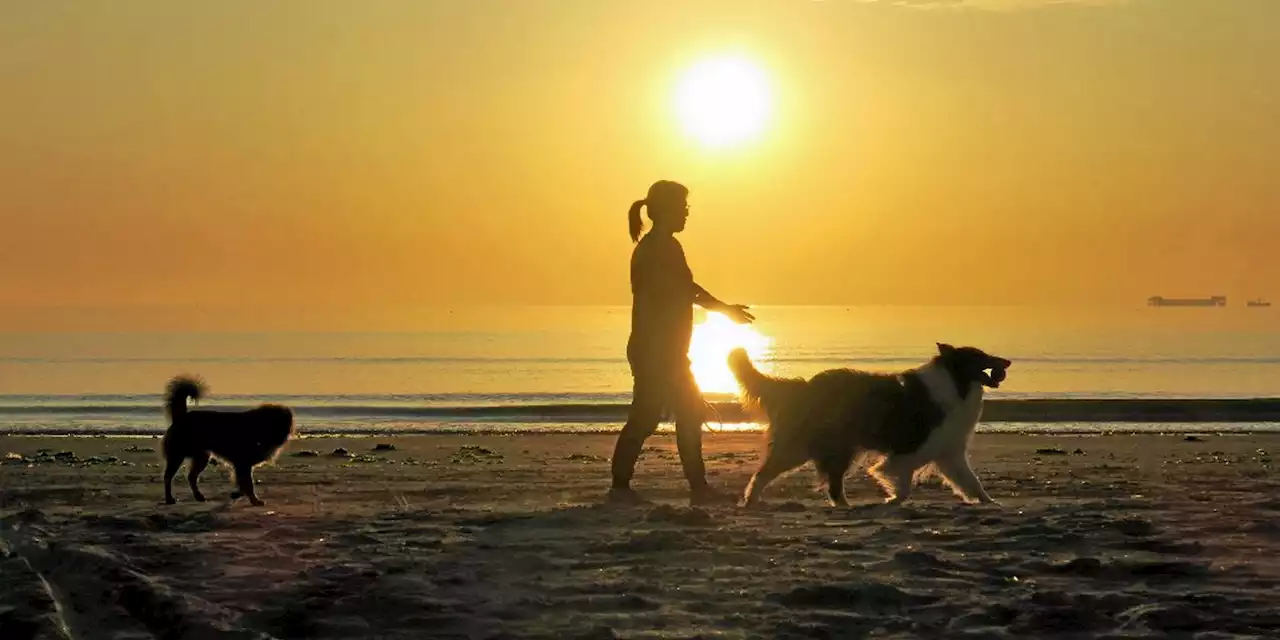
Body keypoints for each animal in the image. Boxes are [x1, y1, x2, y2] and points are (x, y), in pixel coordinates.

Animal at [160, 373, 293, 504]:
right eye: (275, 424)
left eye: (286, 425)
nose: (282, 439)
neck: (258, 428)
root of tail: (182, 416)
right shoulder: (242, 463)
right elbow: (248, 484)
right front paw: (254, 500)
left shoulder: (242, 465)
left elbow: (243, 483)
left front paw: (238, 494)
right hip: (177, 455)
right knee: (168, 477)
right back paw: (169, 498)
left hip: (202, 457)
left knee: (191, 477)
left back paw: (198, 496)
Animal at [732, 343, 1008, 506]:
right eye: (979, 356)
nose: (1007, 362)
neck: (955, 383)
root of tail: (803, 386)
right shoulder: (910, 449)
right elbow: (899, 481)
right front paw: (893, 499)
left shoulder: (948, 452)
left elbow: (972, 482)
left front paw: (991, 503)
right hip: (806, 447)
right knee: (766, 472)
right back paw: (751, 500)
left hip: (839, 448)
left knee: (831, 483)